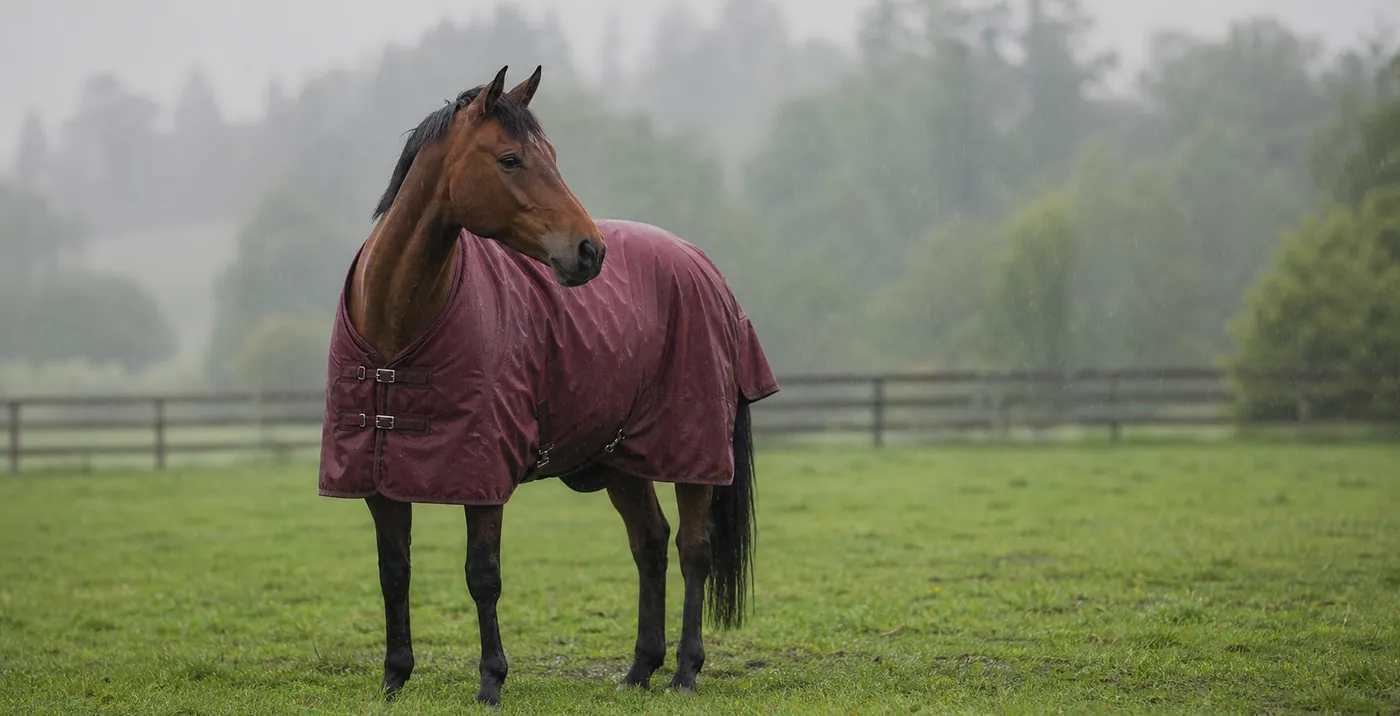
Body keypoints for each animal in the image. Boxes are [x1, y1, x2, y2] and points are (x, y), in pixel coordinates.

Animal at [316, 66, 779, 707]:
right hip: (622, 460)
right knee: (650, 543)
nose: (590, 250)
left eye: (551, 156)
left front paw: (491, 681)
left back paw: (685, 671)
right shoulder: (378, 480)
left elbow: (482, 575)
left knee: (693, 549)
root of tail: (701, 264)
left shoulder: (482, 477)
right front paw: (394, 678)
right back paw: (640, 669)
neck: (395, 329)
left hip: (694, 452)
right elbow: (394, 572)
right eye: (510, 159)